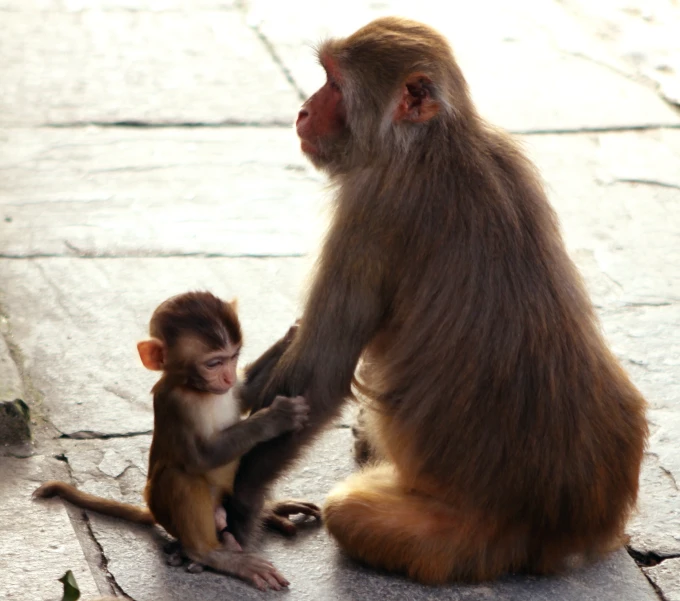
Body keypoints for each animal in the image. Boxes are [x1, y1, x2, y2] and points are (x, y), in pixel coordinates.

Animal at [34, 290, 316, 592]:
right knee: (180, 476)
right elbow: (201, 457)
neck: (196, 388)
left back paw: (270, 512)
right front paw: (276, 417)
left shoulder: (228, 391)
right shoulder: (178, 404)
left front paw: (289, 337)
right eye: (213, 363)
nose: (227, 376)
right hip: (168, 510)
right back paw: (211, 554)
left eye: (233, 357)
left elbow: (246, 393)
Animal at [228, 17, 648, 580]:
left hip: (460, 542)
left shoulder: (370, 206)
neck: (432, 141)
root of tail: (551, 533)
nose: (302, 111)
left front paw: (235, 504)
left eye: (334, 84)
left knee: (350, 512)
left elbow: (320, 377)